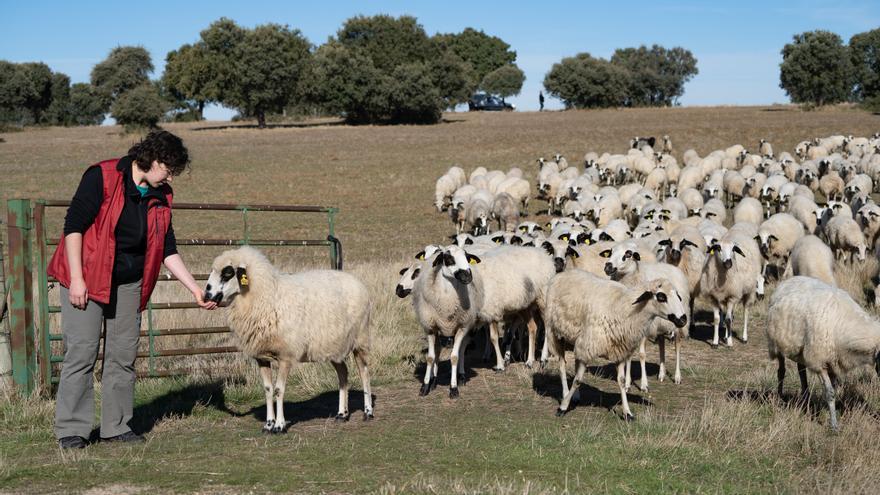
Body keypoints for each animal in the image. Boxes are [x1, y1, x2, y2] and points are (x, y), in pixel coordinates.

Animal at [205, 246, 372, 432]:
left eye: (227, 272)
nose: (207, 294)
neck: (266, 295)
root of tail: (357, 281)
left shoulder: (285, 355)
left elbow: (279, 390)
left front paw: (279, 425)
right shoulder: (262, 356)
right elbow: (268, 389)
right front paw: (268, 424)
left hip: (360, 339)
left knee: (364, 373)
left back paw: (368, 412)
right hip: (333, 346)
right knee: (343, 373)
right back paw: (341, 414)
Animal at [544, 274, 688, 420]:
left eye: (678, 295)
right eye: (661, 296)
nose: (683, 319)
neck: (625, 307)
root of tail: (562, 274)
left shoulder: (619, 350)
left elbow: (622, 381)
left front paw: (627, 413)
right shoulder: (588, 347)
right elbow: (578, 380)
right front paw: (563, 407)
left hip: (576, 338)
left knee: (574, 363)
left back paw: (575, 396)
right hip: (556, 333)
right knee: (562, 365)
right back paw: (565, 394)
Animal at [764, 278, 880, 432]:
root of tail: (787, 281)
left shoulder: (835, 362)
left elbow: (833, 390)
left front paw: (828, 412)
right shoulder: (819, 362)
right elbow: (830, 393)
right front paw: (834, 425)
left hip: (801, 349)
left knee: (801, 370)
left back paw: (805, 397)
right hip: (777, 344)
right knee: (781, 371)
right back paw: (780, 398)